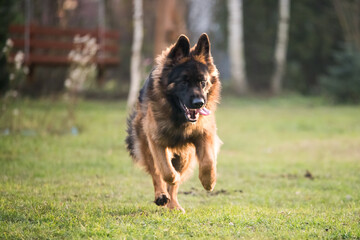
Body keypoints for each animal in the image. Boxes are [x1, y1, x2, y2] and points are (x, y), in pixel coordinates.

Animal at [126, 33, 222, 212]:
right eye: (183, 81)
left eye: (203, 82)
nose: (199, 103)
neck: (179, 117)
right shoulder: (156, 141)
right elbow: (165, 171)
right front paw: (172, 180)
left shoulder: (205, 133)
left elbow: (208, 162)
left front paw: (209, 181)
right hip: (146, 145)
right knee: (157, 173)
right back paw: (162, 196)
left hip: (185, 155)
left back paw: (174, 205)